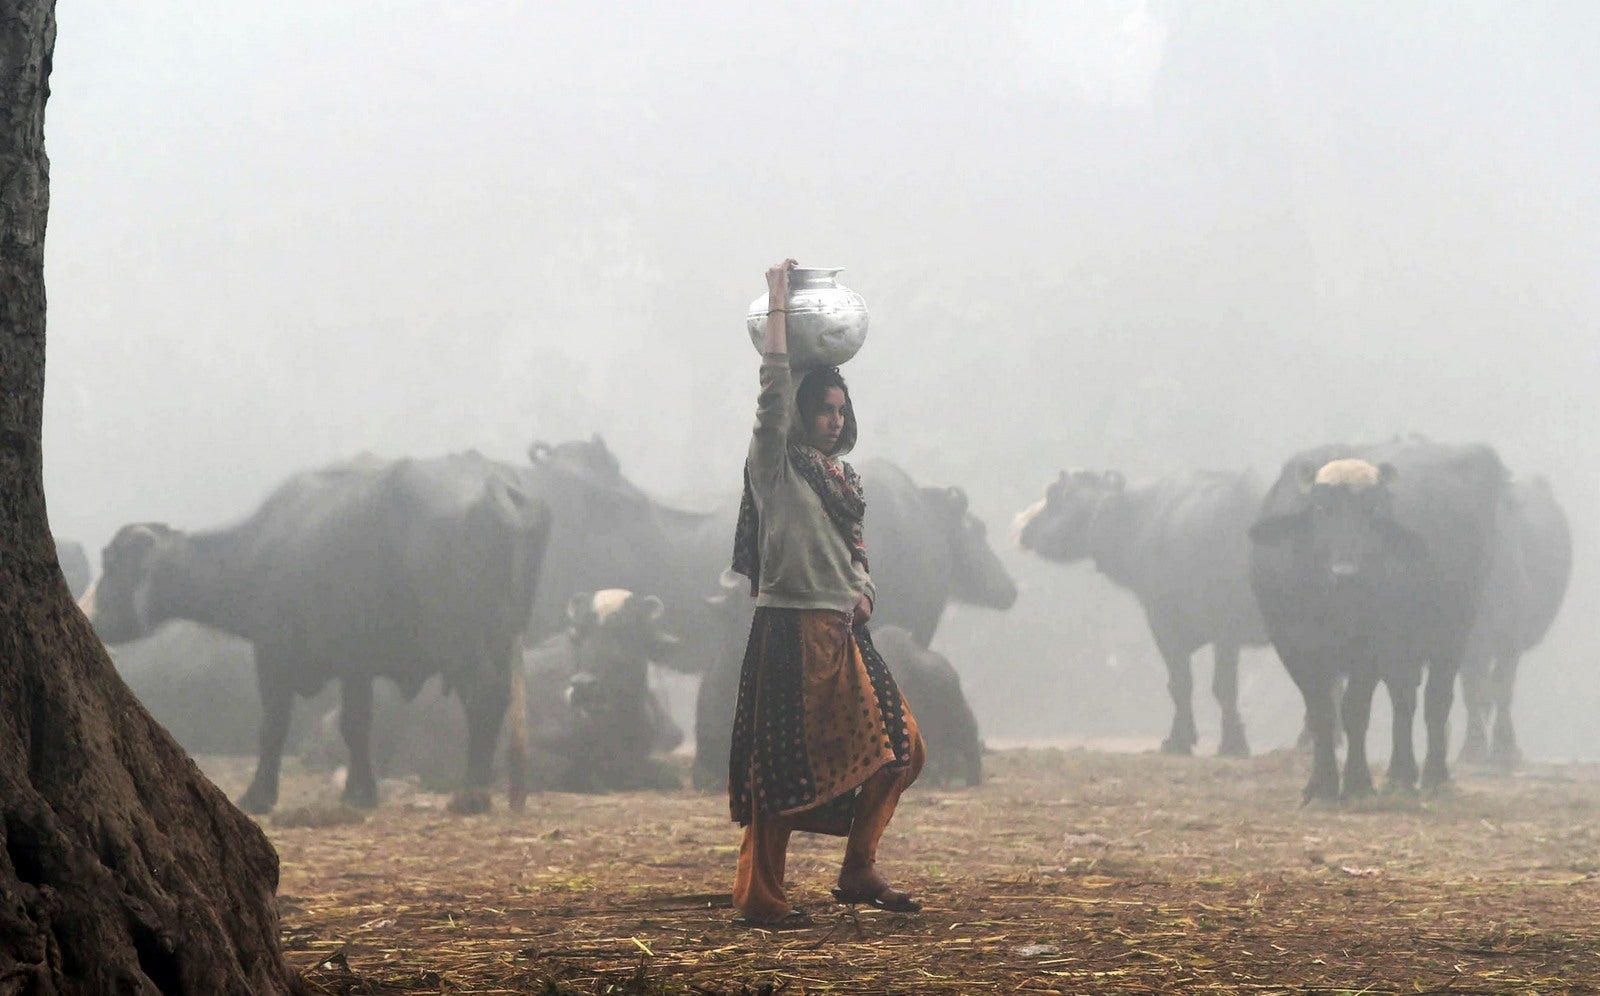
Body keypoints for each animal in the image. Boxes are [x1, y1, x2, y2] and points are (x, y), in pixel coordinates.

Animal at [89, 457, 550, 816]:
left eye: (112, 564)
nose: (90, 615)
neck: (259, 553)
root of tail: (497, 489)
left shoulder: (272, 653)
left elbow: (273, 725)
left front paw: (259, 795)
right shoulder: (355, 664)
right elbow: (356, 723)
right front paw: (360, 793)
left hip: (462, 641)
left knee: (484, 696)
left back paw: (472, 793)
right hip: (504, 636)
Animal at [1017, 467, 1267, 755]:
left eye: (1053, 494)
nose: (1025, 530)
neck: (1140, 519)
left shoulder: (1179, 625)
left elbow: (1192, 684)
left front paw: (1197, 742)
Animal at [1248, 441, 1510, 803]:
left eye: (1373, 511)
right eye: (1320, 509)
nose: (1345, 573)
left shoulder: (1373, 647)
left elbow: (1355, 710)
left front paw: (1358, 784)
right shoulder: (1292, 645)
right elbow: (1320, 711)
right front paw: (1320, 787)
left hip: (1453, 634)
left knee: (1435, 701)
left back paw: (1432, 778)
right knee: (1404, 699)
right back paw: (1399, 776)